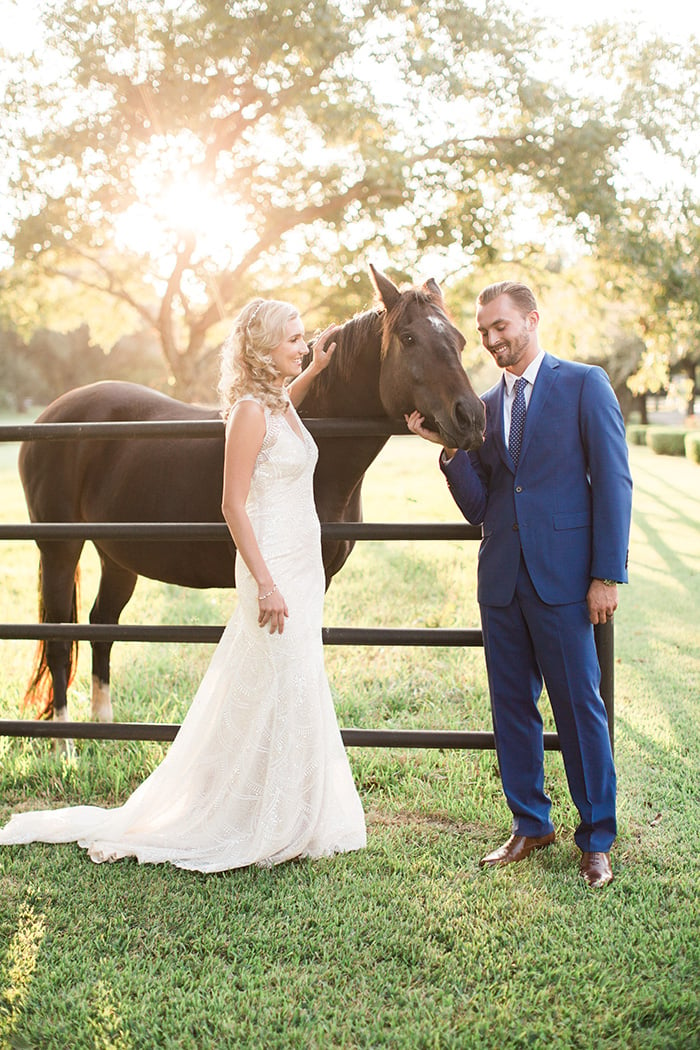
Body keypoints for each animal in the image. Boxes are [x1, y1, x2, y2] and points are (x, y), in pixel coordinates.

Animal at [19, 264, 484, 722]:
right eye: (408, 338)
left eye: (460, 340)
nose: (472, 417)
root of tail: (51, 417)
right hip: (59, 550)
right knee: (59, 638)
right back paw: (64, 738)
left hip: (117, 557)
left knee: (102, 625)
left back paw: (104, 724)